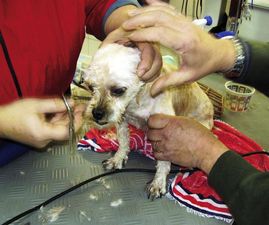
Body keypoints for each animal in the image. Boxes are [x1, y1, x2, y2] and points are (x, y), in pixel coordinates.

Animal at [81, 43, 211, 199]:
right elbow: (123, 142)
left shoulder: (164, 133)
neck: (137, 101)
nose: (97, 113)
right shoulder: (122, 120)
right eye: (90, 87)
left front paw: (158, 183)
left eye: (118, 90)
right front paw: (118, 159)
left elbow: (163, 162)